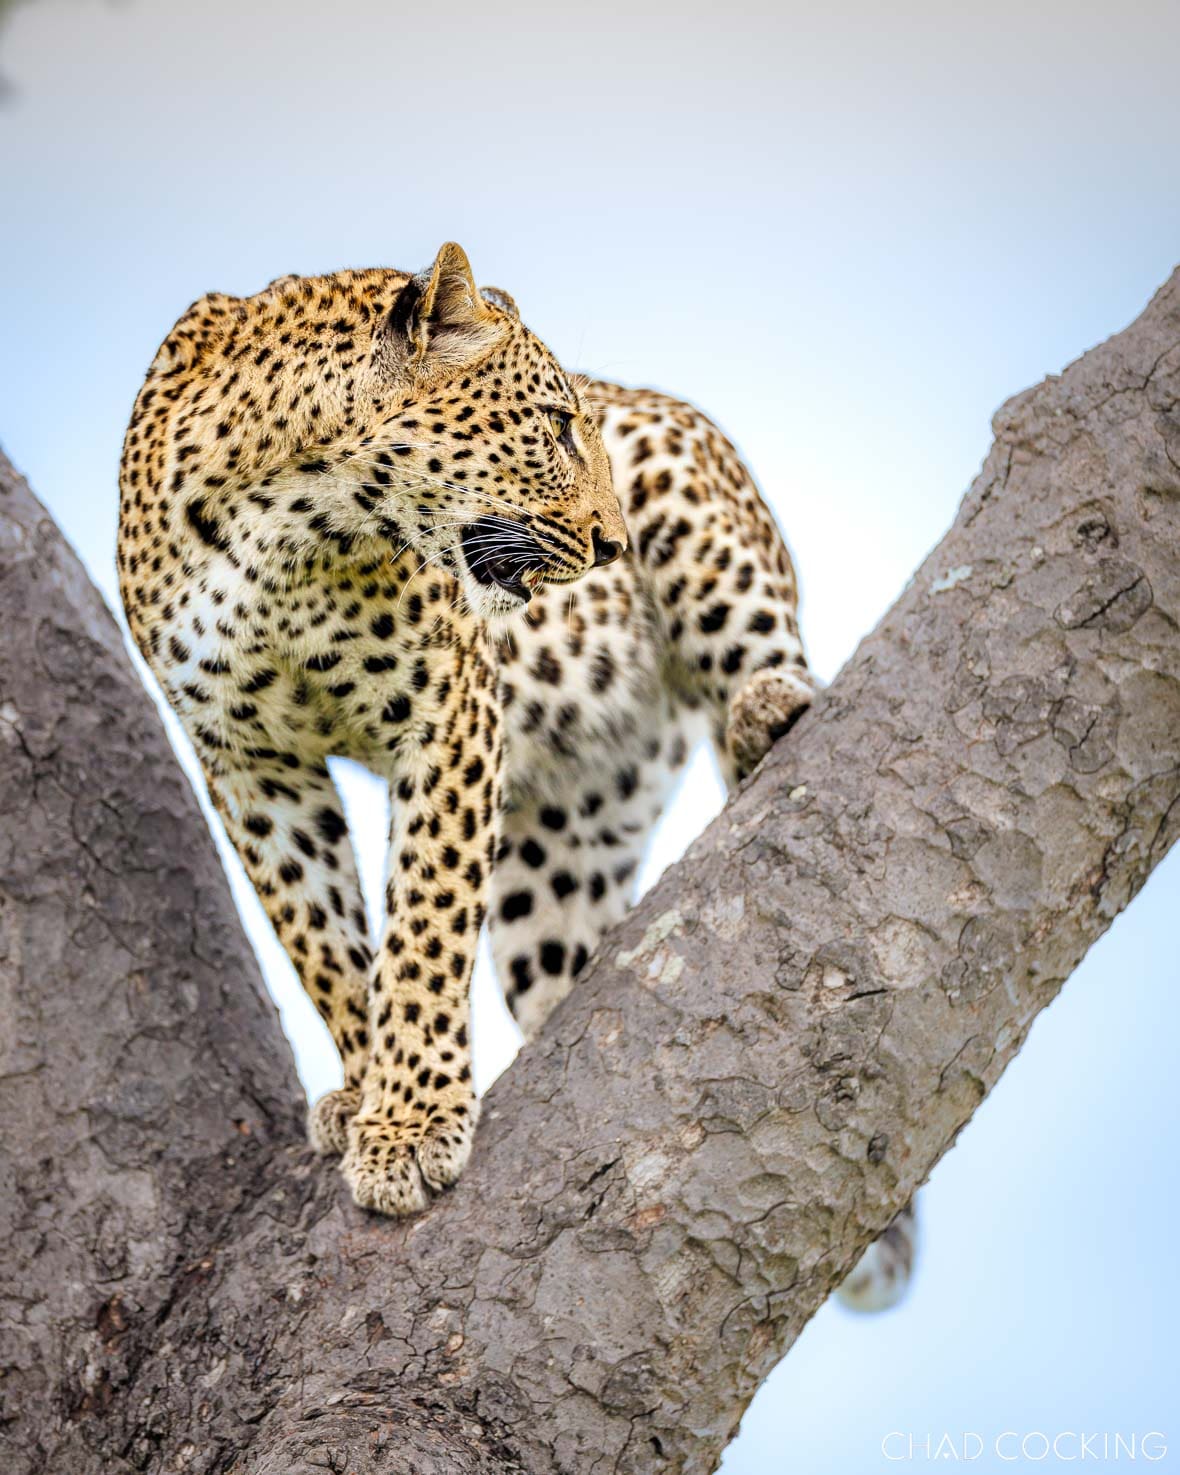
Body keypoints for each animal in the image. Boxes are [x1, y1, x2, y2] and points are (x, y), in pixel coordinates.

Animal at [118, 242, 913, 1308]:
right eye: (555, 426)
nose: (612, 544)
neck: (281, 534)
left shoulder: (447, 712)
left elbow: (424, 926)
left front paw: (411, 1121)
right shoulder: (248, 761)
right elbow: (323, 940)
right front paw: (367, 1091)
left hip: (697, 506)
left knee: (768, 655)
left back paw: (767, 710)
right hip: (560, 854)